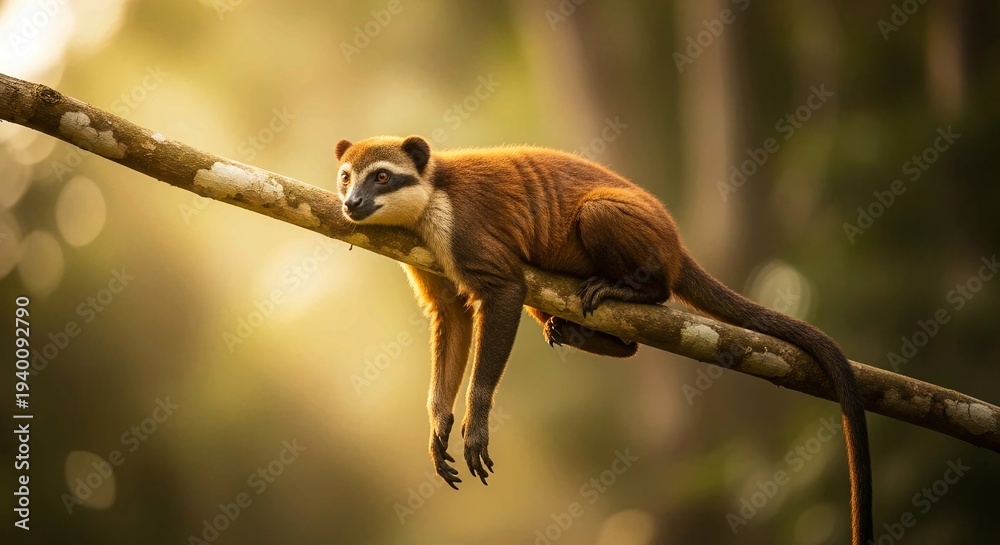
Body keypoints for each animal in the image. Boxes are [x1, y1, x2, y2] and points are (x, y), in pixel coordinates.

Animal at [334, 135, 873, 545]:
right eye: (345, 176)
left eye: (380, 177)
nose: (351, 202)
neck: (429, 200)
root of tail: (677, 245)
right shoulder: (421, 250)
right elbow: (451, 312)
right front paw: (439, 422)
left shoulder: (462, 231)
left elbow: (506, 291)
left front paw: (477, 420)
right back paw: (584, 332)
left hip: (634, 239)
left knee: (604, 234)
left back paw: (635, 290)